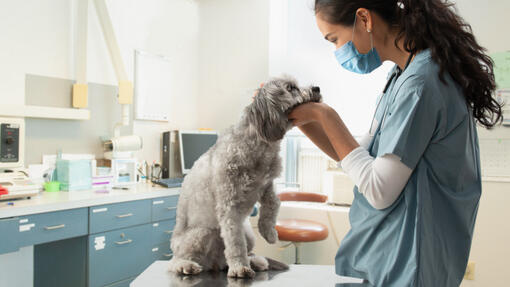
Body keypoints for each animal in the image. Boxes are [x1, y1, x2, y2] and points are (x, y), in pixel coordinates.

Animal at [171, 76, 322, 280]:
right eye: (291, 88)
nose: (317, 88)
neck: (259, 144)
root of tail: (215, 263)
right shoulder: (230, 207)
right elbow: (235, 243)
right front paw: (240, 267)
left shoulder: (266, 185)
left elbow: (274, 203)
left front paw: (269, 231)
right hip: (202, 233)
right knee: (176, 261)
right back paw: (187, 265)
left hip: (248, 234)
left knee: (238, 253)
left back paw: (256, 261)